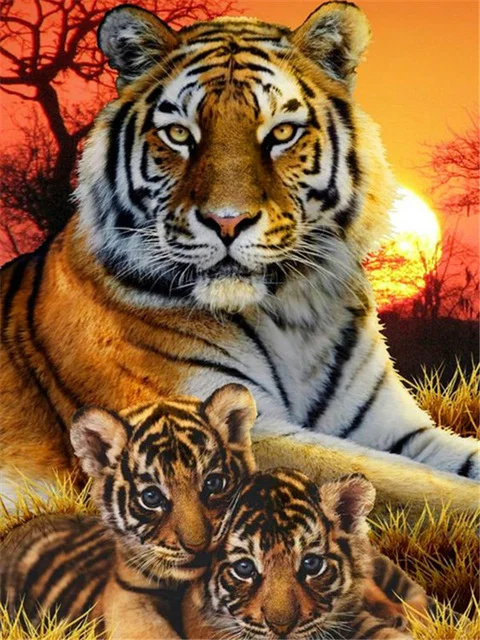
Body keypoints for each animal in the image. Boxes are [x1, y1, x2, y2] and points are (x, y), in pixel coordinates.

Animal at [1, 1, 478, 514]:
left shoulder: (393, 427)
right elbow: (418, 486)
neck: (295, 315)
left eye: (282, 132)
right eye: (178, 134)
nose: (227, 221)